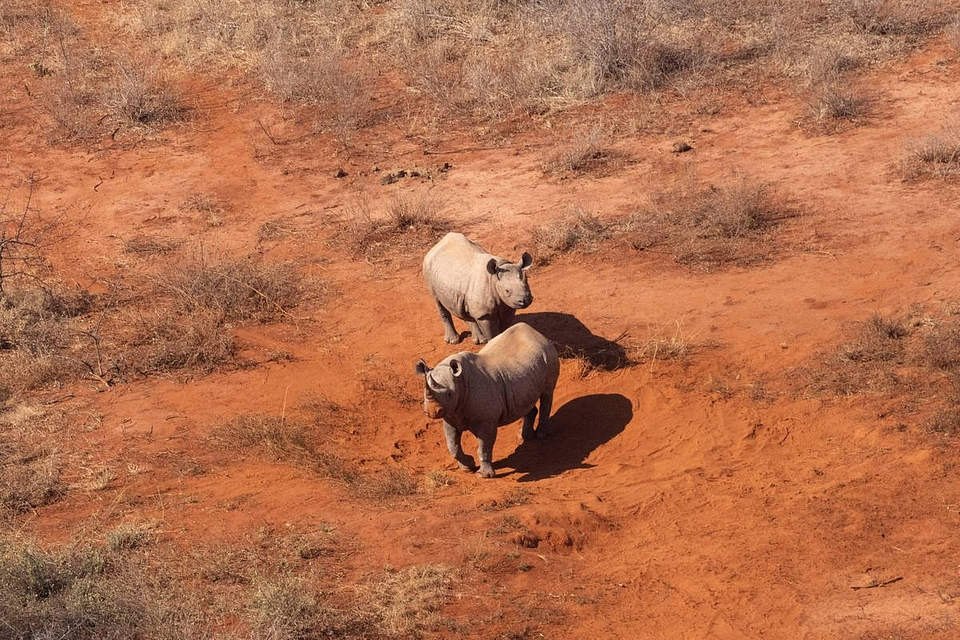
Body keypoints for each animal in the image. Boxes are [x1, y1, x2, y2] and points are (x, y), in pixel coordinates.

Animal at [414, 322, 560, 478]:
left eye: (448, 394)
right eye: (424, 393)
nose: (431, 412)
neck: (459, 382)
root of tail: (537, 334)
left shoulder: (486, 420)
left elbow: (484, 445)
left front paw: (484, 475)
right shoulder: (451, 414)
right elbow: (452, 445)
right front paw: (468, 467)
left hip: (548, 354)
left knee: (547, 394)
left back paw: (541, 435)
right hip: (525, 368)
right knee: (526, 400)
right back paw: (524, 437)